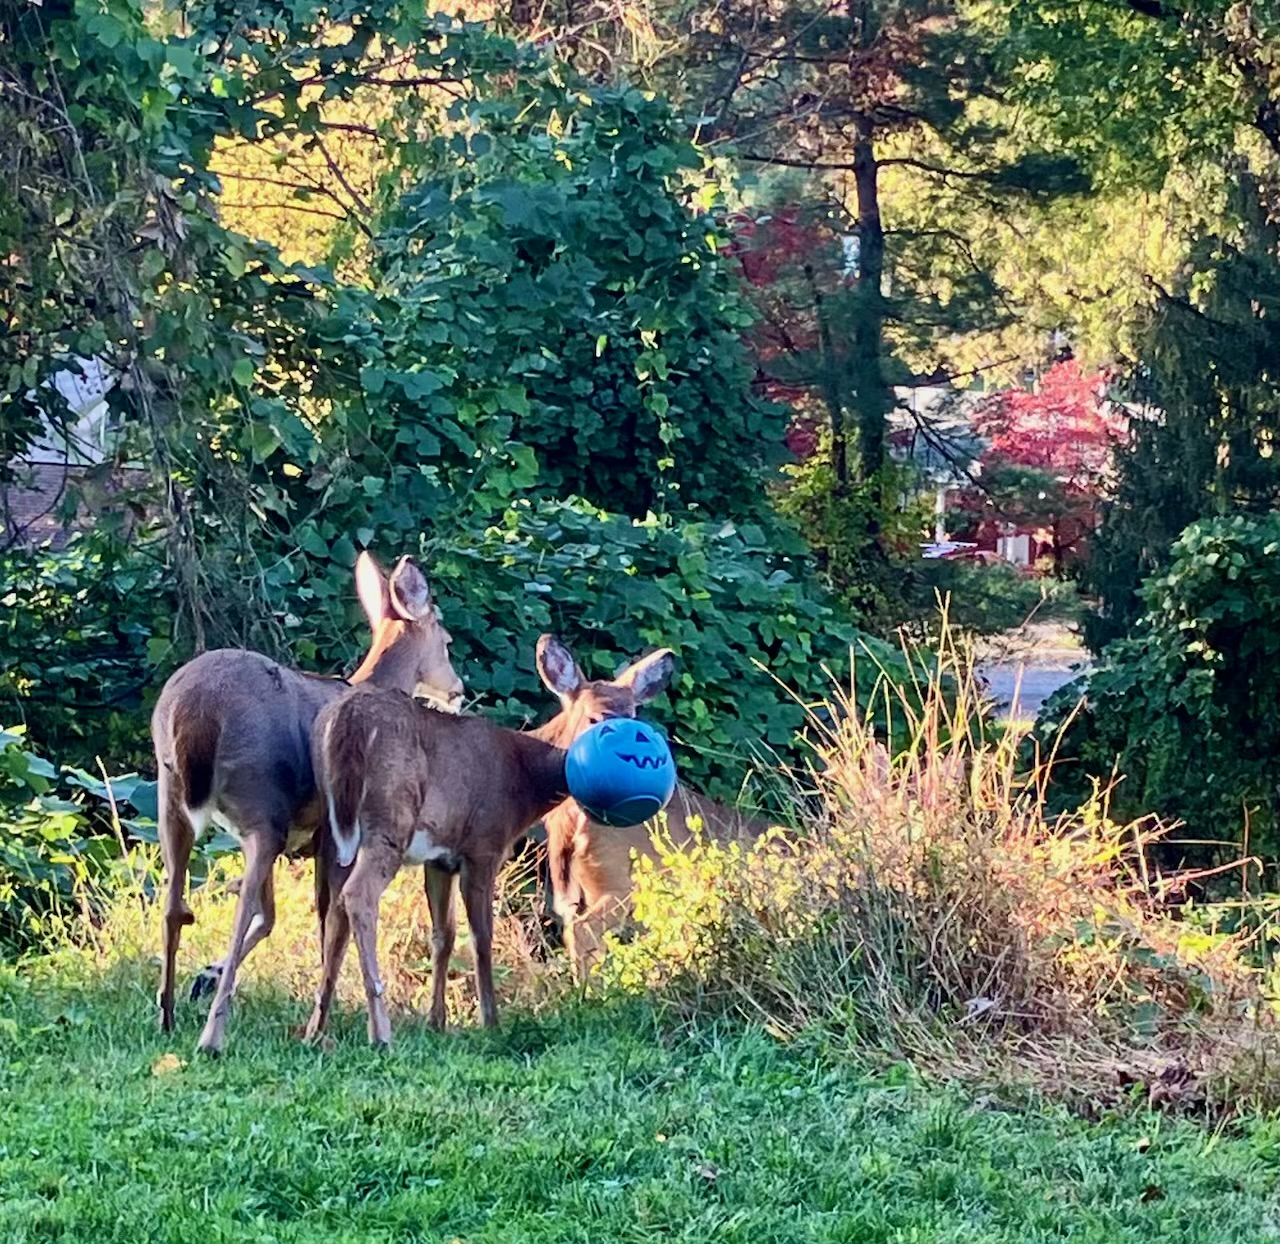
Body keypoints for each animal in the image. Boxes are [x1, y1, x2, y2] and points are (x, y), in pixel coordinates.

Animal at [150, 551, 464, 1055]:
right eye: (447, 641)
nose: (456, 688)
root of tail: (194, 712)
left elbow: (287, 916)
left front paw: (207, 975)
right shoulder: (332, 836)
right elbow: (329, 920)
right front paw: (326, 1023)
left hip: (172, 798)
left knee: (174, 905)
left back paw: (168, 1015)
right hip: (262, 805)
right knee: (241, 911)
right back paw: (211, 1035)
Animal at [302, 635, 676, 1043]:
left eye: (634, 715)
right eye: (595, 718)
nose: (630, 753)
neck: (524, 777)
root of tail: (348, 720)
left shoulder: (441, 859)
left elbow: (444, 935)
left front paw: (437, 1023)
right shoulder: (484, 844)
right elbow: (482, 936)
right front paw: (491, 1022)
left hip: (336, 830)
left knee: (334, 909)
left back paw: (316, 1030)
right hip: (389, 818)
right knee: (358, 897)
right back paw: (381, 1032)